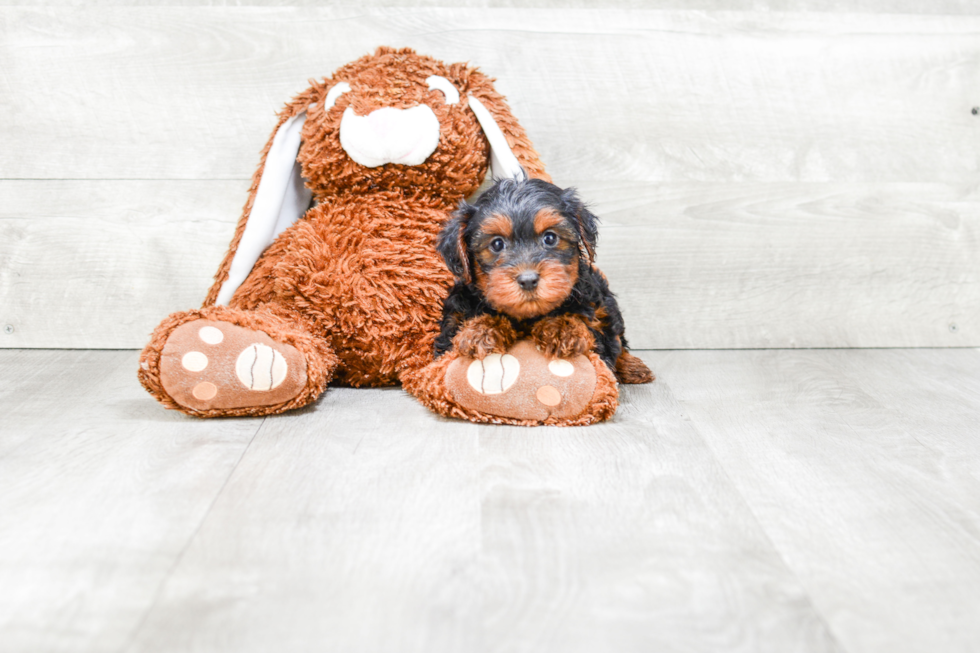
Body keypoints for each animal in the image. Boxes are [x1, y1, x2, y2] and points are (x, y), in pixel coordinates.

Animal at [434, 176, 652, 384]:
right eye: (497, 244)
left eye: (550, 238)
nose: (528, 280)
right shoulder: (452, 324)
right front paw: (481, 330)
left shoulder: (598, 324)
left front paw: (562, 329)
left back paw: (632, 367)